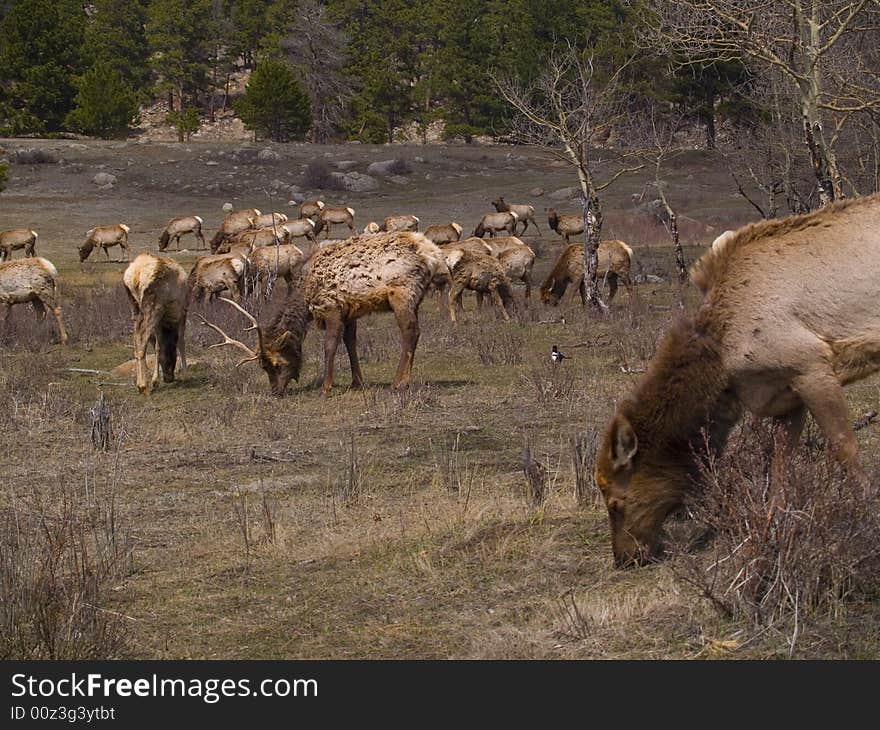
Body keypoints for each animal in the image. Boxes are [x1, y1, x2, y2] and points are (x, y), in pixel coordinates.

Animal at [123, 252, 188, 392]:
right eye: (172, 354)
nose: (169, 378)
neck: (168, 324)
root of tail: (136, 274)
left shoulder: (160, 321)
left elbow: (157, 346)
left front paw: (155, 380)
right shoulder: (183, 312)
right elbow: (181, 341)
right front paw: (185, 371)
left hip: (134, 306)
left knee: (135, 338)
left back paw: (140, 382)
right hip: (153, 305)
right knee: (141, 338)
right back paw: (142, 385)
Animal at [592, 195, 880, 568]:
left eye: (616, 502)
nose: (624, 558)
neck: (724, 364)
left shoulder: (813, 366)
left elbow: (846, 450)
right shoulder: (785, 394)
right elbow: (779, 470)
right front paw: (771, 535)